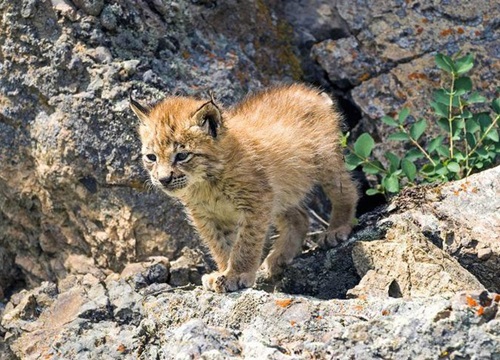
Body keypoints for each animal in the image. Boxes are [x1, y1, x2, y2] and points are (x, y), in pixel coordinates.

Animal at [132, 84, 360, 292]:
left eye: (182, 156)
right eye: (151, 157)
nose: (163, 179)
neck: (206, 183)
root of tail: (311, 93)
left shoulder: (255, 203)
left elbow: (245, 243)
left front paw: (237, 274)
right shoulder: (204, 214)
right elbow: (219, 244)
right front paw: (223, 272)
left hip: (326, 161)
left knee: (347, 190)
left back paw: (336, 229)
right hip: (280, 193)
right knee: (300, 218)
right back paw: (278, 257)